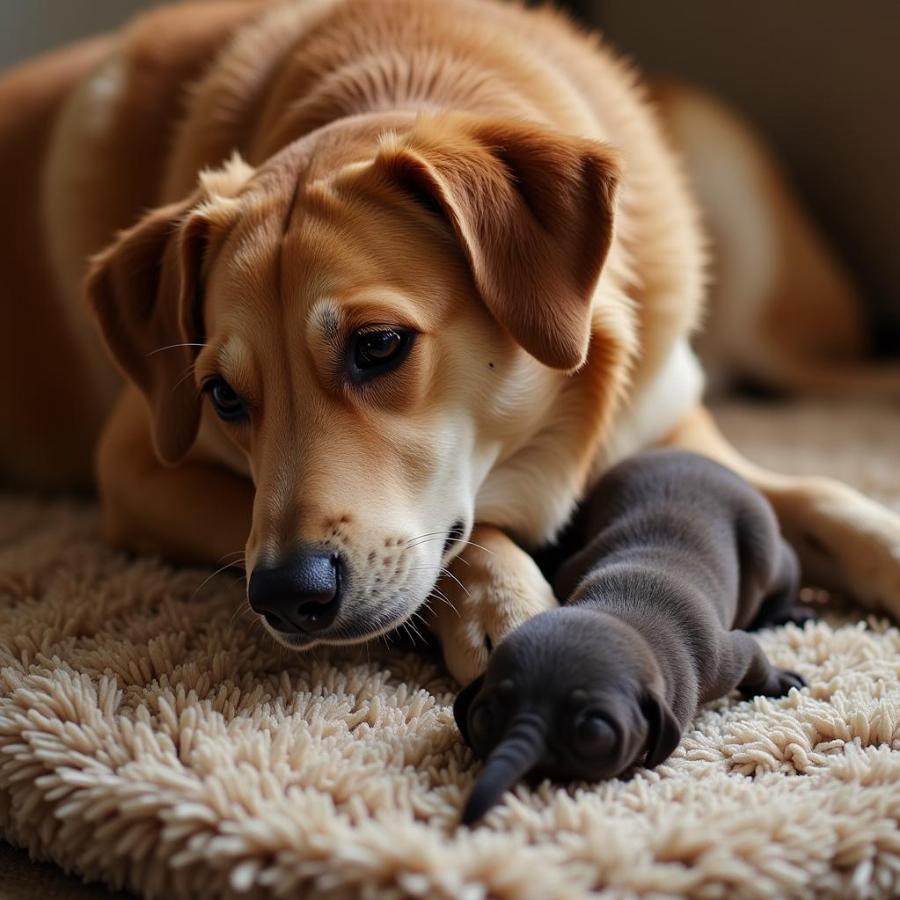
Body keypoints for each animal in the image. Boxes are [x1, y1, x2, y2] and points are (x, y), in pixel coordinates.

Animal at [1, 0, 900, 680]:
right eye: (221, 395)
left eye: (378, 346)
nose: (287, 594)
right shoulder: (136, 466)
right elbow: (461, 544)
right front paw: (505, 608)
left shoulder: (667, 418)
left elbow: (824, 495)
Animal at [458, 450, 808, 824]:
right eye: (482, 718)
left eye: (594, 733)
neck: (625, 611)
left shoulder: (722, 657)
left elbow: (753, 656)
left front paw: (780, 679)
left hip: (768, 553)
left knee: (782, 576)